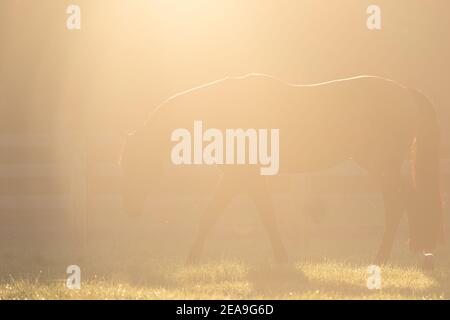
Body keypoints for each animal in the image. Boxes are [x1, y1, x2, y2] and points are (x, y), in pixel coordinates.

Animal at [118, 74, 444, 268]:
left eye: (137, 163)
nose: (131, 208)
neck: (224, 110)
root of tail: (406, 92)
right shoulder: (249, 178)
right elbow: (267, 217)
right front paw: (282, 259)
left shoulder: (237, 177)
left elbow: (211, 215)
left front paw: (192, 259)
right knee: (410, 199)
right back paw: (418, 250)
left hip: (380, 165)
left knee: (398, 203)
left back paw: (381, 258)